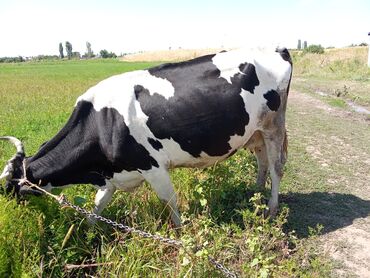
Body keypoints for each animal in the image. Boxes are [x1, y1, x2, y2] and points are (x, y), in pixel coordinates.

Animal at [1, 47, 294, 226]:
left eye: (8, 189)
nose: (11, 214)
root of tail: (276, 49)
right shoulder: (112, 176)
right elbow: (96, 207)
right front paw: (88, 234)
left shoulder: (153, 167)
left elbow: (170, 203)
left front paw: (181, 234)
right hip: (255, 132)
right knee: (262, 162)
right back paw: (256, 193)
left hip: (274, 126)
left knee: (277, 167)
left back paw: (271, 207)